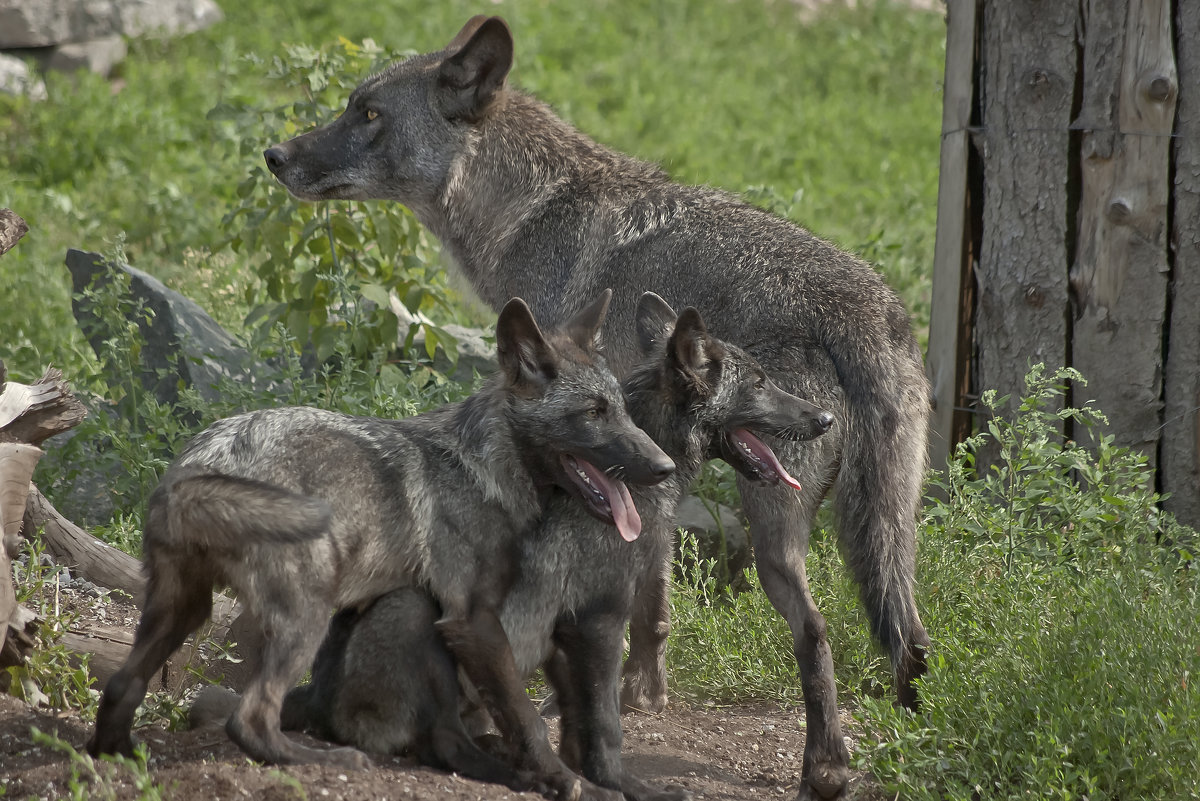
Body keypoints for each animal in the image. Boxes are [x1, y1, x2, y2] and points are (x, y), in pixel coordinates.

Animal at [87, 292, 676, 801]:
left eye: (622, 409)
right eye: (593, 413)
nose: (664, 466)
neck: (485, 467)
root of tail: (206, 456)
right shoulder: (474, 620)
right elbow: (527, 718)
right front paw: (567, 782)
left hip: (183, 610)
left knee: (121, 686)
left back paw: (117, 758)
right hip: (335, 614)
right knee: (253, 719)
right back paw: (327, 761)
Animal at [267, 14, 931, 801]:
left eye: (368, 114)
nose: (274, 155)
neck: (527, 213)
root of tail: (867, 312)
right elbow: (654, 585)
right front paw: (644, 689)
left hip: (779, 533)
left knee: (818, 630)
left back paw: (824, 768)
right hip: (884, 531)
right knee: (912, 640)